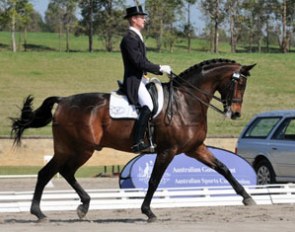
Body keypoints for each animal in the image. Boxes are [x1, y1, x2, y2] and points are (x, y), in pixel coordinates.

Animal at [10, 58, 256, 221]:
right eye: (238, 83)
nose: (235, 114)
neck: (185, 102)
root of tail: (62, 101)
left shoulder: (195, 147)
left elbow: (223, 168)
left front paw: (247, 198)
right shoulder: (167, 150)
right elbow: (154, 180)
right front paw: (148, 211)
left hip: (72, 149)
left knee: (57, 173)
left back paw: (68, 208)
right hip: (79, 149)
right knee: (55, 172)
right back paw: (47, 211)